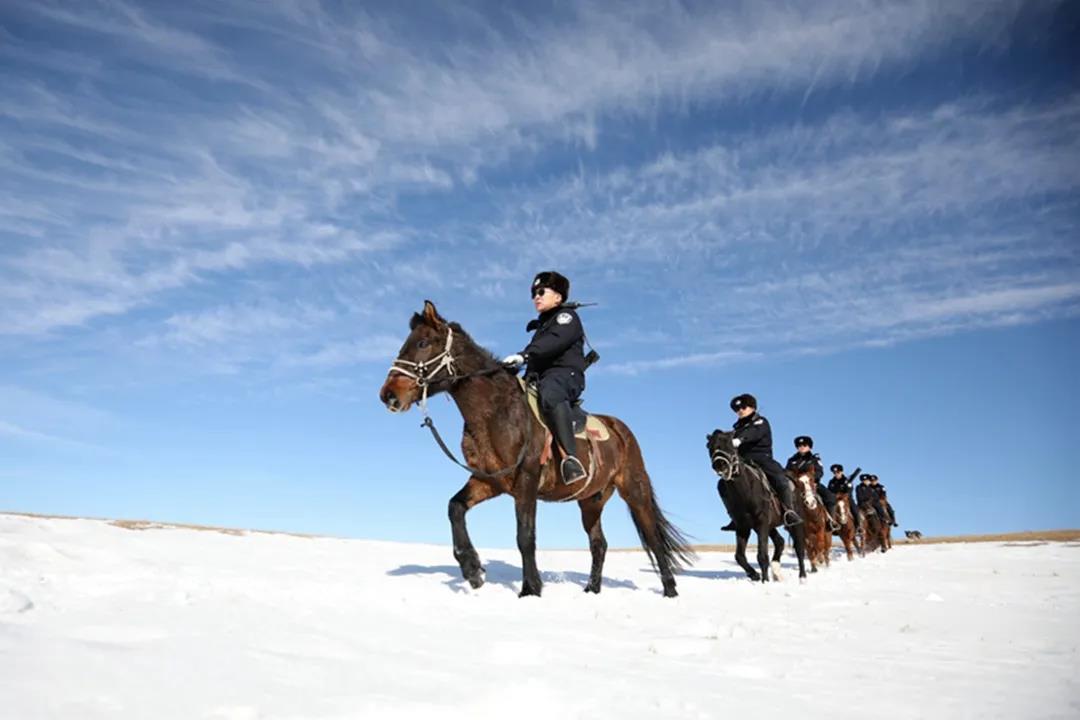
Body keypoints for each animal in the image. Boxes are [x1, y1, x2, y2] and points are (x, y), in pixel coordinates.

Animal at [378, 302, 691, 600]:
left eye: (423, 343)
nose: (388, 395)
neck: (497, 412)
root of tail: (621, 431)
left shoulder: (526, 482)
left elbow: (525, 536)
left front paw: (530, 589)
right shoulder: (489, 481)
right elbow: (455, 507)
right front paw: (472, 569)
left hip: (634, 490)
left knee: (653, 539)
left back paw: (670, 590)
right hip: (590, 502)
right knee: (599, 544)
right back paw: (592, 590)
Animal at [704, 431, 807, 582]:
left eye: (730, 445)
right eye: (709, 447)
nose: (720, 464)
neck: (746, 490)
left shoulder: (762, 523)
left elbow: (762, 556)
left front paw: (765, 581)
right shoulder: (743, 527)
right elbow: (739, 556)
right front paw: (754, 575)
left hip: (793, 523)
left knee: (799, 548)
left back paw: (802, 577)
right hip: (769, 526)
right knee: (780, 542)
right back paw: (776, 570)